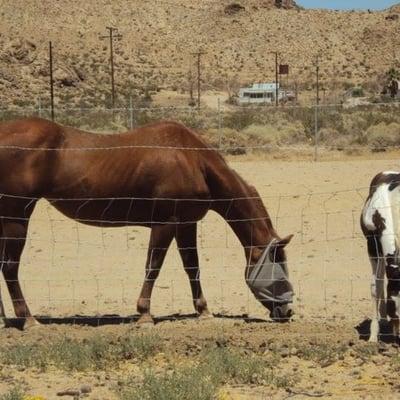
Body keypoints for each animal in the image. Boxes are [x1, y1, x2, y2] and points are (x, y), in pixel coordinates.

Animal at [0, 116, 292, 328]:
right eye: (280, 263)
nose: (288, 310)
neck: (192, 159)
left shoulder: (186, 225)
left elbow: (192, 267)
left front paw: (203, 311)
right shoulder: (165, 224)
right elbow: (153, 267)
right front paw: (144, 314)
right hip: (16, 218)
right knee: (10, 268)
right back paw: (29, 320)